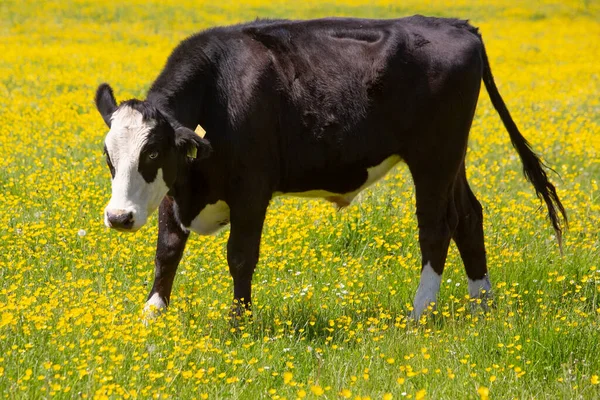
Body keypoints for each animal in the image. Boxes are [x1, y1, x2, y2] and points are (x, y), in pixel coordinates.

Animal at [95, 16, 568, 322]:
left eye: (152, 153)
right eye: (108, 155)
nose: (118, 217)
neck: (220, 91)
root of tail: (459, 25)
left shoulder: (251, 189)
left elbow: (240, 256)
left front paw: (239, 322)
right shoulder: (175, 188)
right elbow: (168, 249)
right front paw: (152, 314)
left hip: (433, 157)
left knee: (437, 227)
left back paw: (418, 313)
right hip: (453, 157)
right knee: (469, 217)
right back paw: (482, 304)